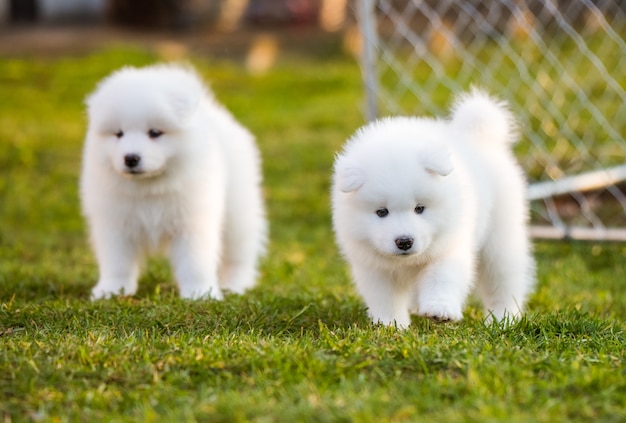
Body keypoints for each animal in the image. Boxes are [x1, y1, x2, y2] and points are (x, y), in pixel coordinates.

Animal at [79, 63, 264, 302]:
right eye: (118, 134)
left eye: (155, 133)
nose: (131, 158)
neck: (149, 188)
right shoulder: (114, 225)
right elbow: (117, 264)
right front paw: (111, 291)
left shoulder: (193, 224)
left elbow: (195, 264)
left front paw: (200, 294)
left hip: (238, 214)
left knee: (239, 255)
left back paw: (235, 285)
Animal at [332, 88, 532, 328]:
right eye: (382, 212)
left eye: (420, 208)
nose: (404, 241)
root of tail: (479, 139)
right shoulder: (373, 266)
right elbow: (385, 296)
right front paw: (391, 325)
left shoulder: (448, 248)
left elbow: (442, 279)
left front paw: (440, 310)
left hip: (499, 239)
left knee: (504, 280)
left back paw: (503, 319)